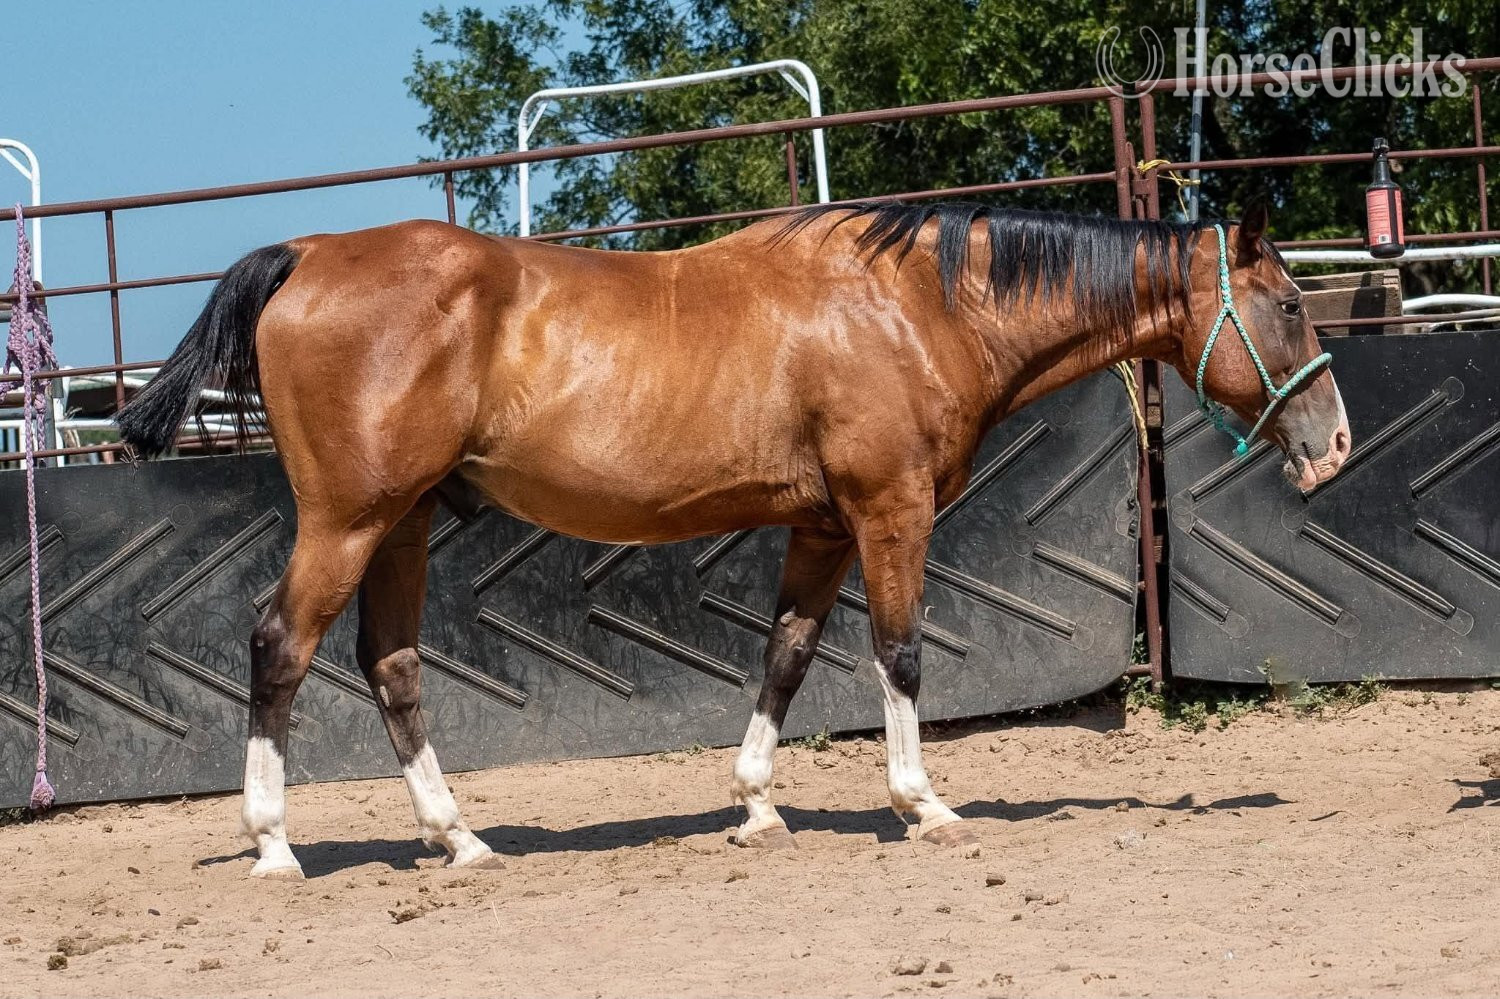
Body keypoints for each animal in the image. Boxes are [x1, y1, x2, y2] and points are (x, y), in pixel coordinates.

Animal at [116, 199, 1350, 879]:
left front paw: (757, 807)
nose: (1334, 443)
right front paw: (923, 805)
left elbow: (787, 655)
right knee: (280, 646)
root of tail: (311, 251)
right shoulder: (890, 511)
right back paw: (276, 843)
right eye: (1291, 306)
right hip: (350, 520)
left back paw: (458, 837)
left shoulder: (820, 526)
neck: (916, 304)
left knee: (391, 663)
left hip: (405, 525)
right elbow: (900, 653)